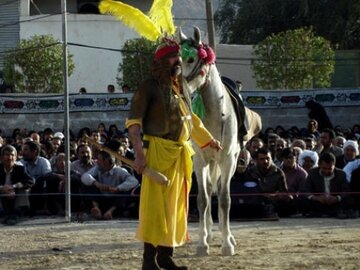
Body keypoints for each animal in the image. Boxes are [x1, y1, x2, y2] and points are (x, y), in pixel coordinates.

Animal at [177, 26, 262, 256]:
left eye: (191, 59)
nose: (179, 86)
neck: (216, 113)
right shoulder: (199, 161)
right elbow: (203, 199)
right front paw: (202, 244)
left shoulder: (227, 160)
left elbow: (225, 199)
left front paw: (227, 244)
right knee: (207, 190)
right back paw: (208, 234)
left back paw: (228, 236)